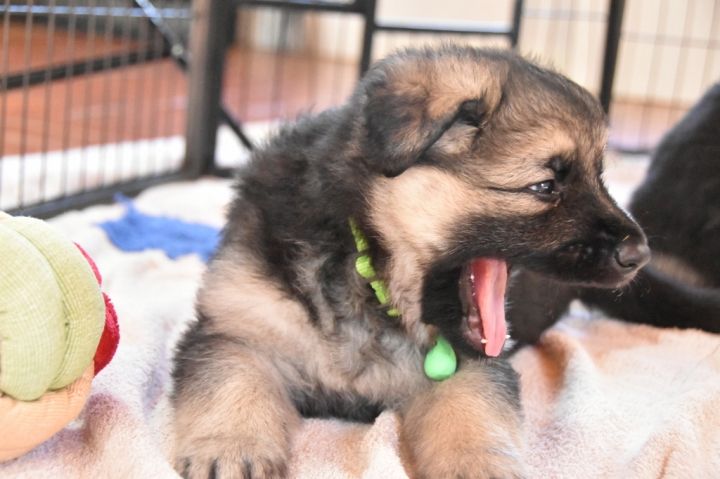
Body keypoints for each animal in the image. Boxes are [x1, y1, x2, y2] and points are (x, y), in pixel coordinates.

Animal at [171, 46, 716, 478]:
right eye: (544, 187)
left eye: (601, 177)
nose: (639, 254)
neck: (371, 277)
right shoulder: (237, 325)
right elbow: (233, 379)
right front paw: (231, 446)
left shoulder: (473, 367)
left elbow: (471, 415)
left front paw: (481, 467)